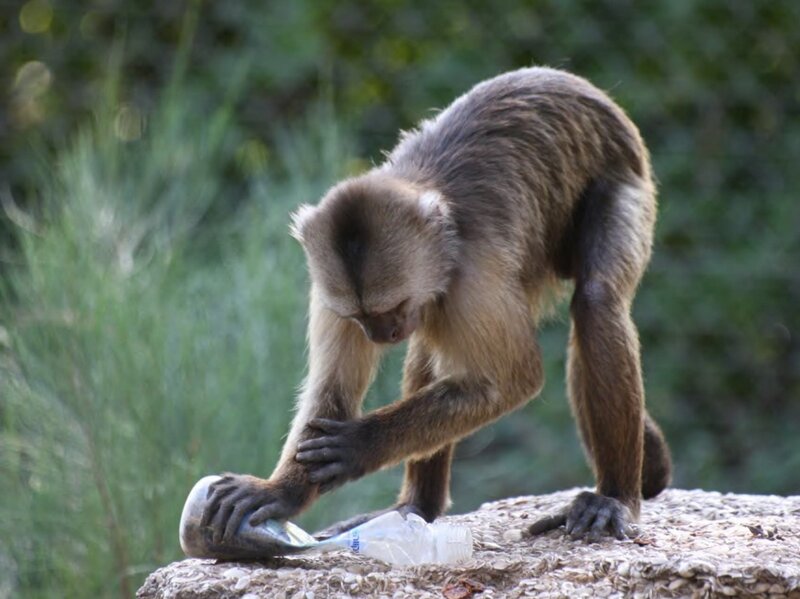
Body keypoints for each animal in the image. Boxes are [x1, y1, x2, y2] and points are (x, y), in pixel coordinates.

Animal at [201, 66, 672, 544]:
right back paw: (418, 506)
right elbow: (332, 389)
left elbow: (511, 381)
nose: (381, 334)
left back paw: (614, 496)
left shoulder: (473, 275)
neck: (443, 237)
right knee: (430, 343)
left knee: (596, 299)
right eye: (360, 317)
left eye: (391, 307)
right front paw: (282, 492)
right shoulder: (330, 289)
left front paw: (361, 444)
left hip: (627, 177)